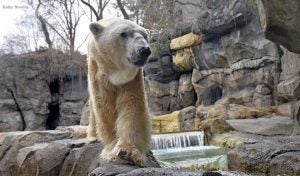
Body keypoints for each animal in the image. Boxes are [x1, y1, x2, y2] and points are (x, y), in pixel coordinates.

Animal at [86, 17, 152, 166]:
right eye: (123, 34)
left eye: (145, 35)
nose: (144, 50)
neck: (115, 72)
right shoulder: (98, 73)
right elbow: (105, 108)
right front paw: (111, 149)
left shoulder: (131, 80)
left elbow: (132, 106)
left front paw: (127, 152)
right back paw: (92, 137)